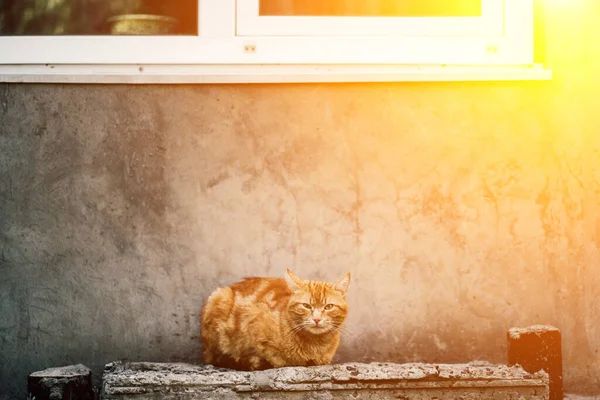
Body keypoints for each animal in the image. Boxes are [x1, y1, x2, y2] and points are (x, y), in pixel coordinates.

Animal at [202, 270, 352, 370]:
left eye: (329, 307)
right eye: (306, 306)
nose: (316, 319)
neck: (315, 345)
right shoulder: (253, 323)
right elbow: (277, 358)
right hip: (219, 298)